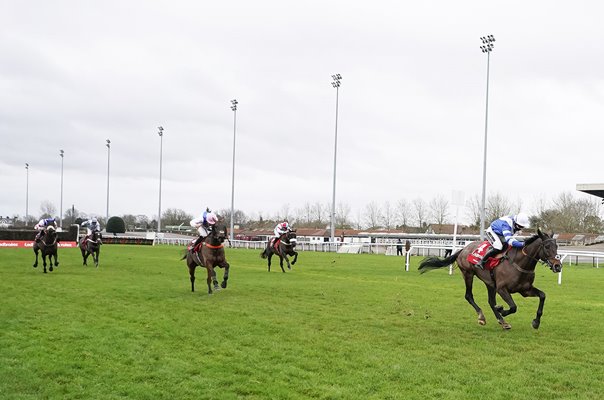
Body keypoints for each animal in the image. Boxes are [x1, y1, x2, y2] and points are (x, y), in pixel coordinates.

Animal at [420, 230, 560, 330]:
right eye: (547, 246)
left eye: (557, 246)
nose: (558, 266)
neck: (519, 263)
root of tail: (463, 249)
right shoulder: (502, 289)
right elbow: (513, 307)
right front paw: (502, 310)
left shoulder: (525, 290)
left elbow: (543, 295)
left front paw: (536, 322)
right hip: (468, 274)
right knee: (469, 295)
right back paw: (482, 317)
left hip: (490, 283)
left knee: (491, 301)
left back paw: (502, 322)